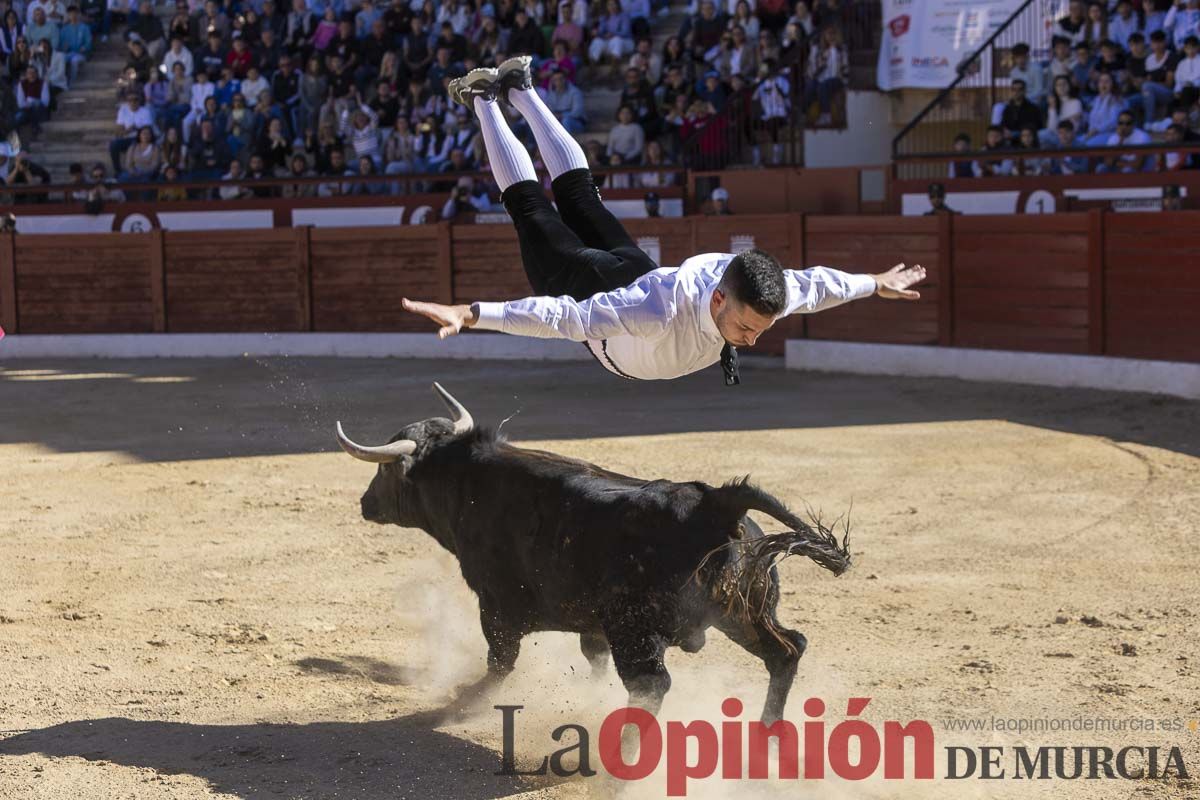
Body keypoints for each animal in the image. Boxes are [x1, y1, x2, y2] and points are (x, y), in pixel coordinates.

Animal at [338, 383, 854, 724]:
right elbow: (591, 657)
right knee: (787, 650)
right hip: (745, 613)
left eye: (384, 472)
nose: (364, 503)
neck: (466, 478)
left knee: (651, 686)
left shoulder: (497, 604)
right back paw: (768, 735)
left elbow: (500, 661)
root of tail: (714, 503)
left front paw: (463, 702)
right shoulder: (591, 621)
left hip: (639, 631)